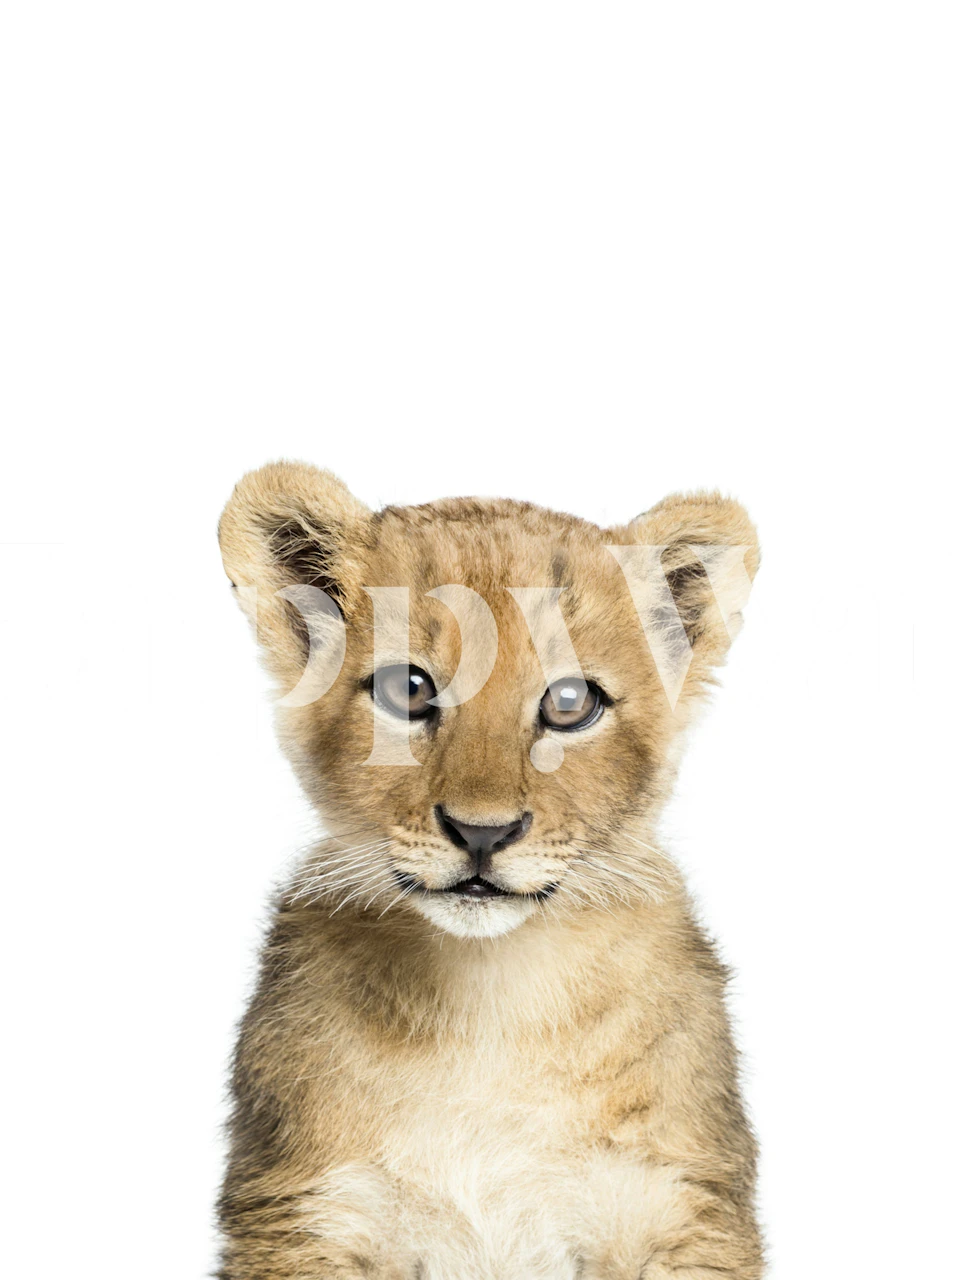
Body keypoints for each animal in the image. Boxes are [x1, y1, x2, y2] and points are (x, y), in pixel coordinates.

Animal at [215, 461, 764, 1279]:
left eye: (570, 702)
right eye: (407, 689)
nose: (483, 833)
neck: (491, 1002)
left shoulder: (679, 1207)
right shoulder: (308, 1212)